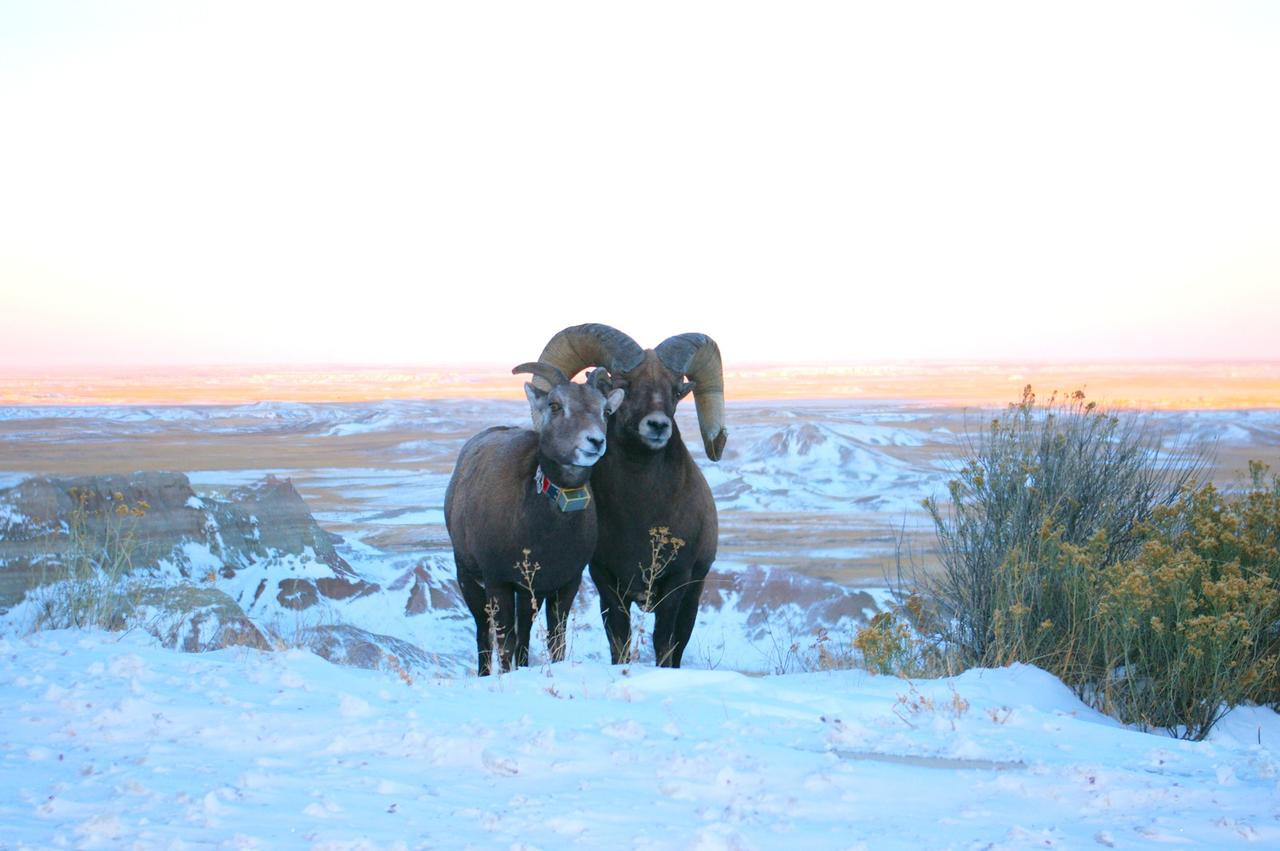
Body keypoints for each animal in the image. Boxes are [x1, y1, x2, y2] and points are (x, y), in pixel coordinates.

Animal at [444, 361, 624, 675]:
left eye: (605, 410)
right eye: (555, 405)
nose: (595, 441)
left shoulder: (563, 586)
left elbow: (555, 641)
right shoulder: (499, 584)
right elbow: (504, 643)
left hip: (529, 595)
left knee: (524, 634)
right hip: (468, 579)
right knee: (483, 634)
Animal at [533, 324, 727, 667]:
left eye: (676, 391)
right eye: (624, 385)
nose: (658, 426)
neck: (642, 512)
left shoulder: (677, 581)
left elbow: (664, 643)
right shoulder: (607, 582)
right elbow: (619, 642)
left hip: (693, 594)